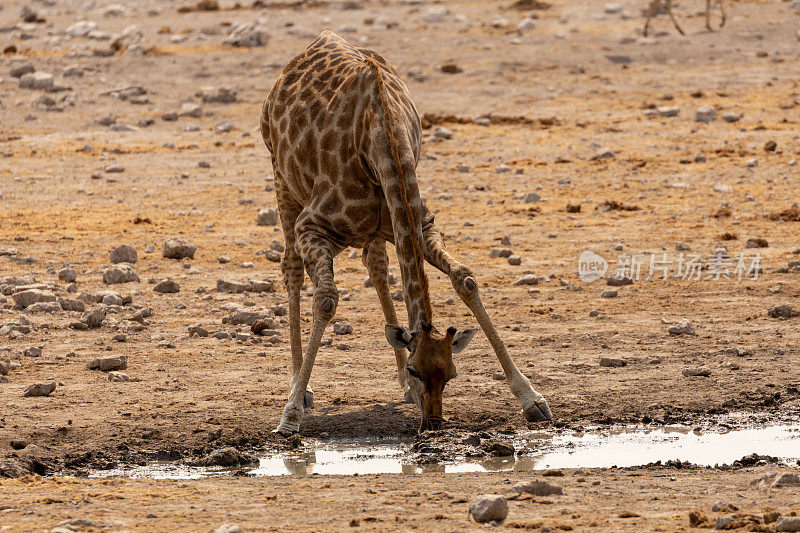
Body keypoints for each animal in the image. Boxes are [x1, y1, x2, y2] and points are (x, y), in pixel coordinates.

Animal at [260, 30, 552, 436]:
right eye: (418, 370)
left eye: (451, 375)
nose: (433, 423)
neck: (383, 141)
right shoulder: (313, 226)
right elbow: (327, 300)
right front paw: (290, 416)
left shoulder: (419, 222)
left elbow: (465, 279)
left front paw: (532, 398)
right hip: (281, 178)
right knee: (291, 268)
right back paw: (299, 389)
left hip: (377, 228)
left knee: (377, 265)